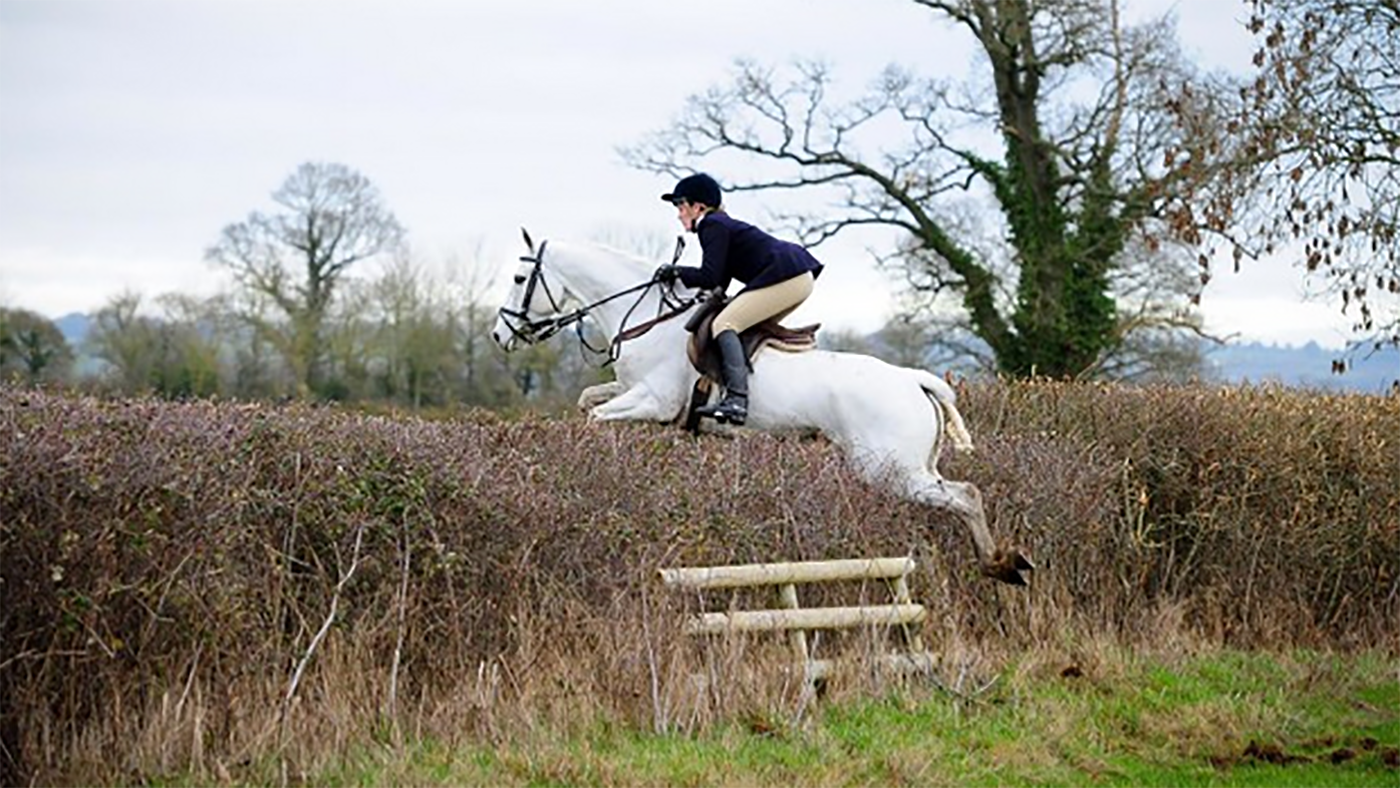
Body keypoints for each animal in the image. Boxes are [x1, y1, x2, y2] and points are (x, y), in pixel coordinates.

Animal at [491, 233, 1033, 586]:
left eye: (519, 277)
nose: (499, 335)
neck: (648, 317)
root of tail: (911, 379)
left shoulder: (653, 400)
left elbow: (595, 420)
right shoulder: (631, 392)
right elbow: (589, 401)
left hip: (890, 469)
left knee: (965, 495)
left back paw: (1001, 565)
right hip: (909, 466)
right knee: (961, 493)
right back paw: (1002, 564)